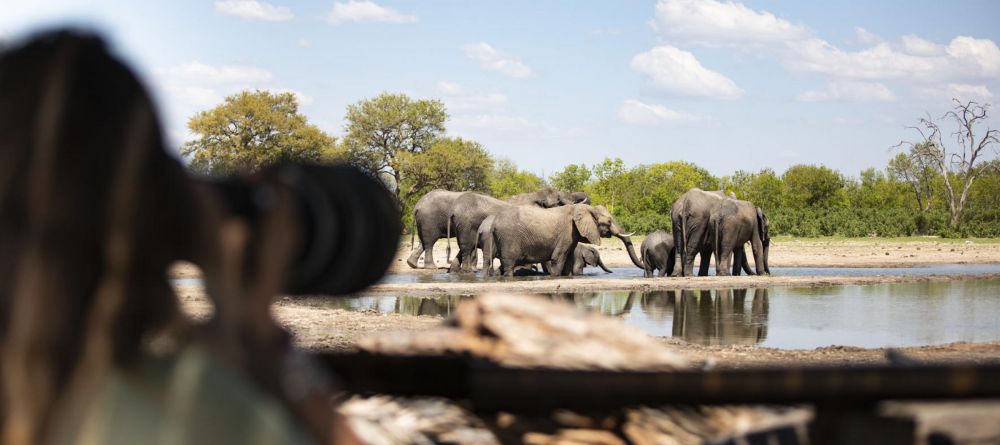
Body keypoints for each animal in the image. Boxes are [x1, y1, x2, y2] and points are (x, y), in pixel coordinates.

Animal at [482, 204, 640, 274]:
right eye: (608, 222)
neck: (584, 208)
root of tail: (494, 221)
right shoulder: (566, 232)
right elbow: (558, 259)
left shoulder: (572, 236)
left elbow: (569, 260)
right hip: (509, 238)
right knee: (508, 264)